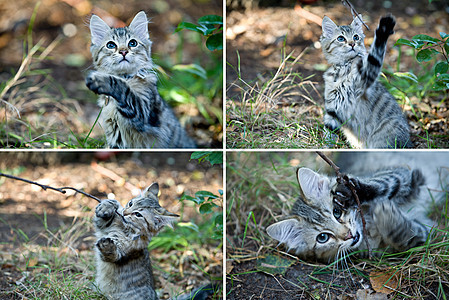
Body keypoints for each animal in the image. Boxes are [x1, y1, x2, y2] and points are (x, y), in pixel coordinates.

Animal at [86, 11, 194, 148]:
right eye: (111, 45)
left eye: (132, 43)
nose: (123, 51)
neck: (125, 77)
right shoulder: (115, 138)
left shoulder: (144, 112)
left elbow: (123, 89)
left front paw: (101, 81)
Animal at [264, 154, 446, 262]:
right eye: (322, 238)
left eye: (337, 212)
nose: (349, 235)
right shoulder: (422, 231)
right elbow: (409, 235)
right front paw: (388, 218)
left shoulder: (403, 173)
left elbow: (382, 183)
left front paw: (352, 192)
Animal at [318, 15, 410, 149]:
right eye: (340, 38)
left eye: (356, 37)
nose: (352, 44)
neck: (343, 69)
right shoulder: (333, 107)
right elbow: (329, 131)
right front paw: (325, 146)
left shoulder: (367, 76)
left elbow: (376, 53)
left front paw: (384, 29)